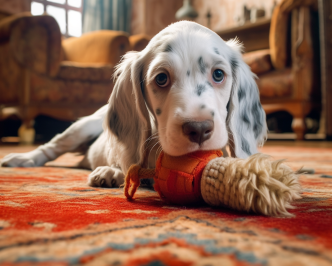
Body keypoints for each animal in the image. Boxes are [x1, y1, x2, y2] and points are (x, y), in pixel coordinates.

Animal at [0, 20, 268, 188]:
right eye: (161, 78)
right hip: (82, 127)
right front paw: (113, 171)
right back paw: (23, 159)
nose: (199, 129)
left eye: (219, 74)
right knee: (51, 147)